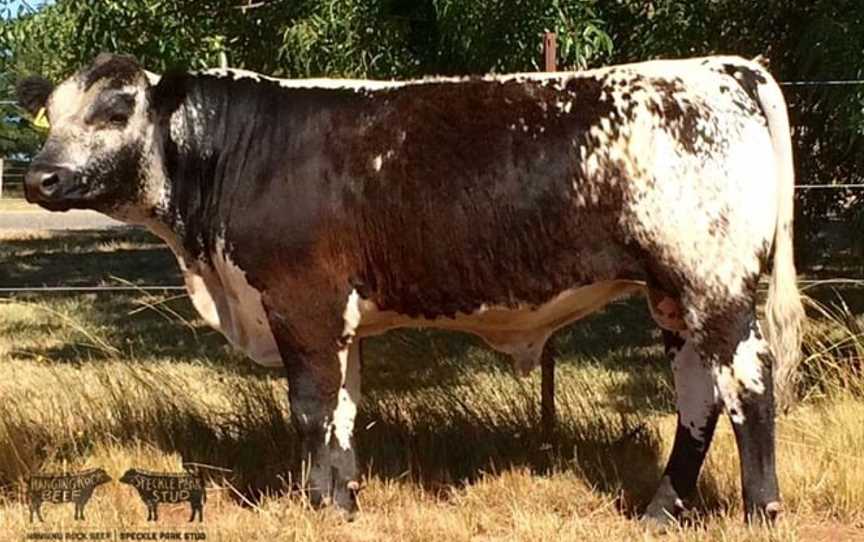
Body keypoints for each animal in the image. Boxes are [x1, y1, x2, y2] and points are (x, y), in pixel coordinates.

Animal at [18, 53, 804, 524]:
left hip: (715, 288)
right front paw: (345, 500)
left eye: (116, 109)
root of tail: (719, 67)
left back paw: (759, 512)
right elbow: (343, 408)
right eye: (50, 113)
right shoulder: (339, 316)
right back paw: (661, 510)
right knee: (698, 401)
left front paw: (319, 507)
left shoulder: (300, 301)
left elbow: (310, 409)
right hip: (672, 296)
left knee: (749, 391)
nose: (39, 178)